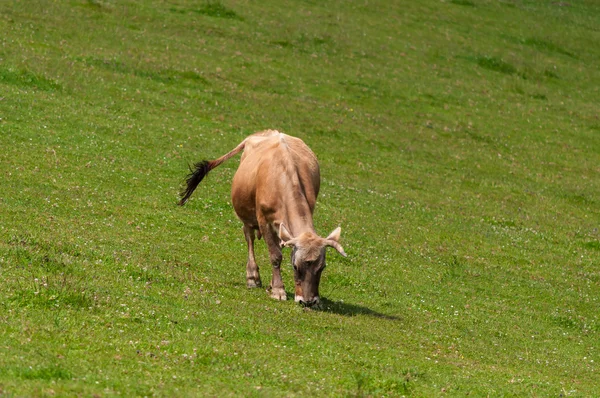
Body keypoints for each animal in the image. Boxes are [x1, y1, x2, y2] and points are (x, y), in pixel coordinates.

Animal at [179, 129, 346, 306]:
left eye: (322, 267)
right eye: (295, 266)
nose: (308, 301)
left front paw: (274, 285)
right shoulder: (263, 220)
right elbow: (275, 255)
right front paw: (278, 290)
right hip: (246, 215)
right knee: (249, 237)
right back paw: (252, 277)